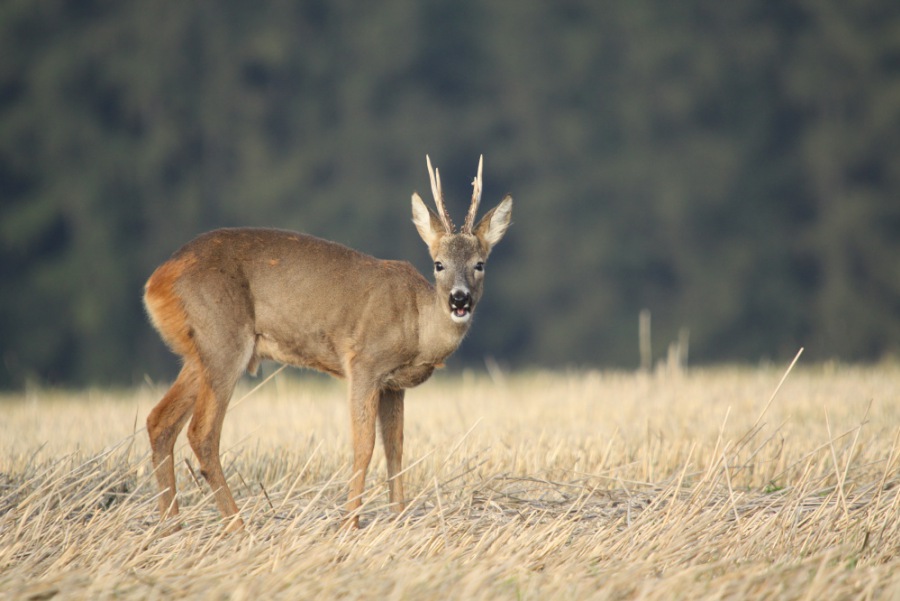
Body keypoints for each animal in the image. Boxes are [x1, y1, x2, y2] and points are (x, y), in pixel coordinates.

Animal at [143, 155, 512, 531]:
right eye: (439, 264)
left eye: (479, 264)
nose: (459, 299)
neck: (418, 325)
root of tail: (157, 280)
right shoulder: (364, 363)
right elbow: (364, 446)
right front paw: (350, 522)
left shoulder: (393, 386)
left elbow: (395, 448)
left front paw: (399, 518)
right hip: (223, 340)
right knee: (201, 432)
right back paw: (237, 527)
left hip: (198, 353)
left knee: (159, 421)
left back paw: (170, 526)